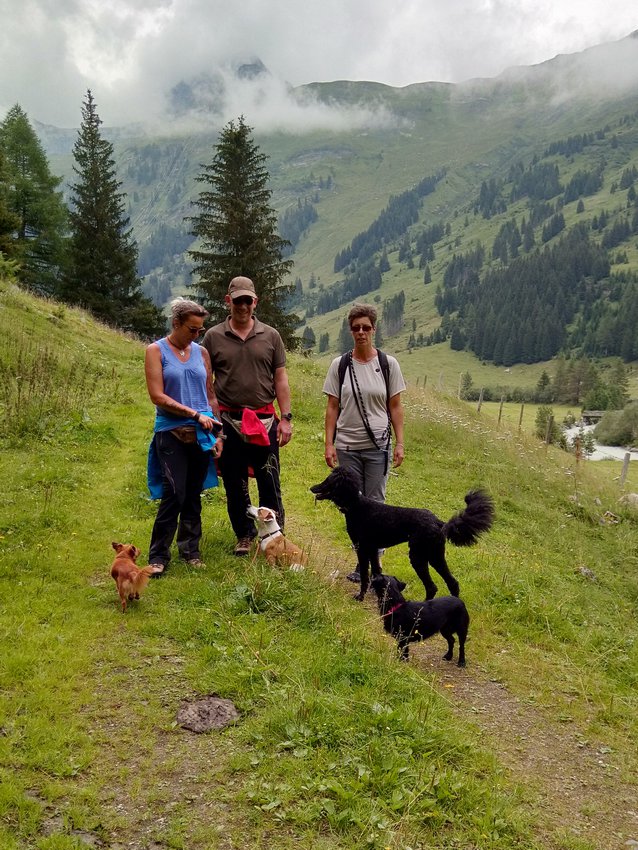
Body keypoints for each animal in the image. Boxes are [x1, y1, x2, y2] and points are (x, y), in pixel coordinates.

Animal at [310, 468, 496, 600]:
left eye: (328, 481)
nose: (312, 488)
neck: (356, 505)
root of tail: (439, 522)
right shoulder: (373, 549)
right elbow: (376, 571)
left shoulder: (362, 549)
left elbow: (364, 575)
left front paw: (360, 596)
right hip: (435, 556)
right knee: (452, 583)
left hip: (419, 556)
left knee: (432, 587)